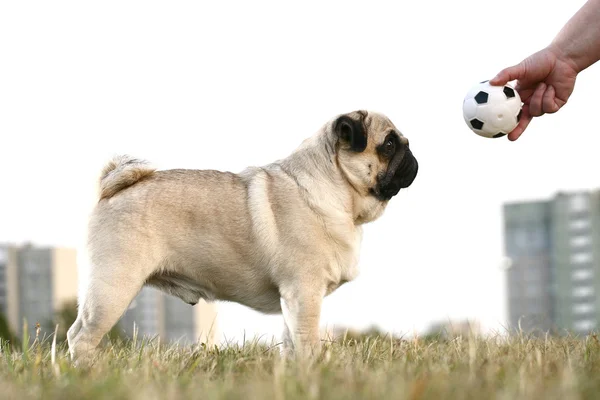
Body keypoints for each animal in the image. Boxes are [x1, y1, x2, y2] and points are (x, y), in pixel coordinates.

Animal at [67, 110, 418, 362]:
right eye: (389, 145)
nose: (412, 154)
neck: (337, 192)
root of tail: (112, 190)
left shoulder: (292, 299)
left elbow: (291, 344)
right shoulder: (304, 292)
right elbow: (307, 341)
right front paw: (313, 371)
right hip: (113, 287)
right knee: (80, 337)